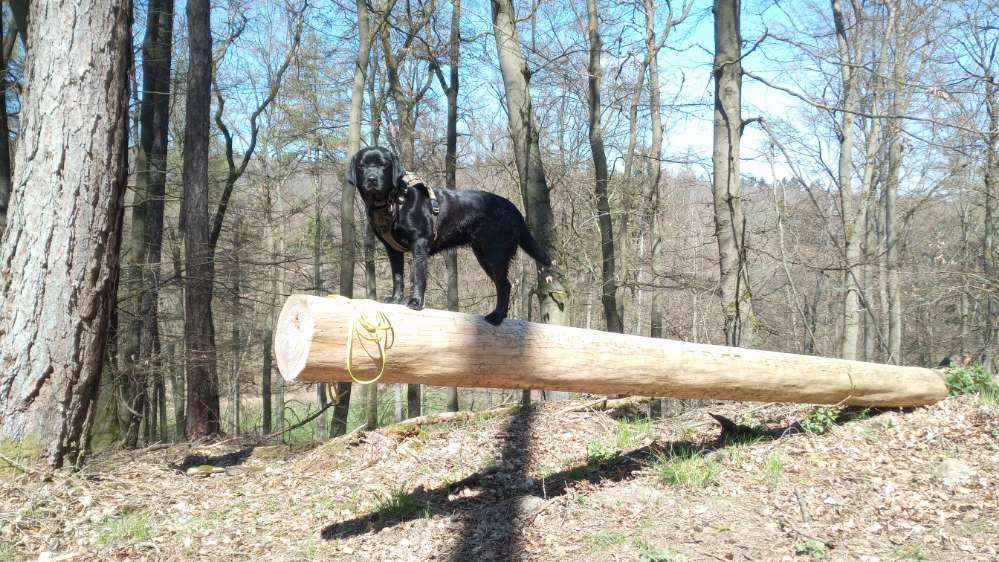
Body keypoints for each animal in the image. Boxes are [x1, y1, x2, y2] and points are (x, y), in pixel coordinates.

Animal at [348, 145, 556, 324]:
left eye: (383, 165)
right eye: (361, 166)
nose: (371, 179)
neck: (394, 201)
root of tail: (513, 208)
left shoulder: (419, 244)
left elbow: (418, 276)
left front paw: (415, 302)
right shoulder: (392, 249)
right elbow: (397, 276)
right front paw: (395, 299)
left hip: (495, 253)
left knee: (504, 285)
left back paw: (496, 317)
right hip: (483, 255)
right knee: (504, 284)